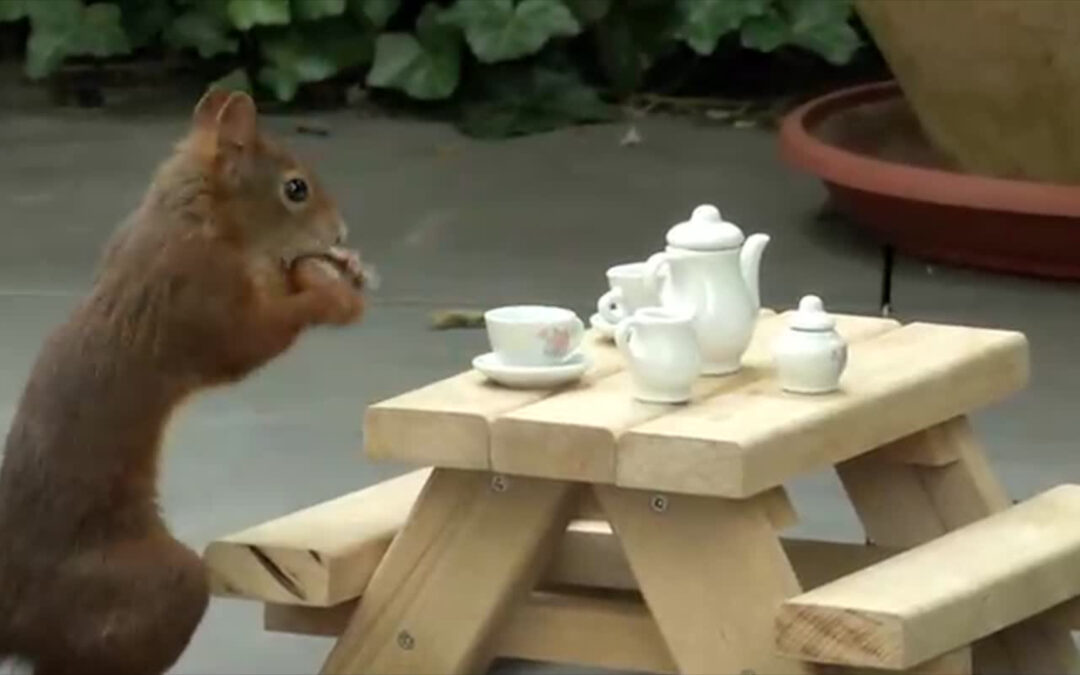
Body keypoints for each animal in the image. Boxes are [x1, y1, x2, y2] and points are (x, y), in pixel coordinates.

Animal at [0, 88, 368, 675]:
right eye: (296, 188)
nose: (340, 234)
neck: (193, 217)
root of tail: (12, 605)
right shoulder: (199, 295)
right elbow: (250, 339)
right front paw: (334, 296)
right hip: (153, 589)